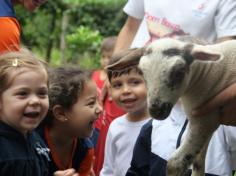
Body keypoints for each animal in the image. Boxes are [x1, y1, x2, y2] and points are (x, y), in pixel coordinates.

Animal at [106, 37, 236, 176]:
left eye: (179, 72)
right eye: (142, 73)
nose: (156, 110)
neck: (207, 73)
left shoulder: (205, 119)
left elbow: (174, 164)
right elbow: (198, 161)